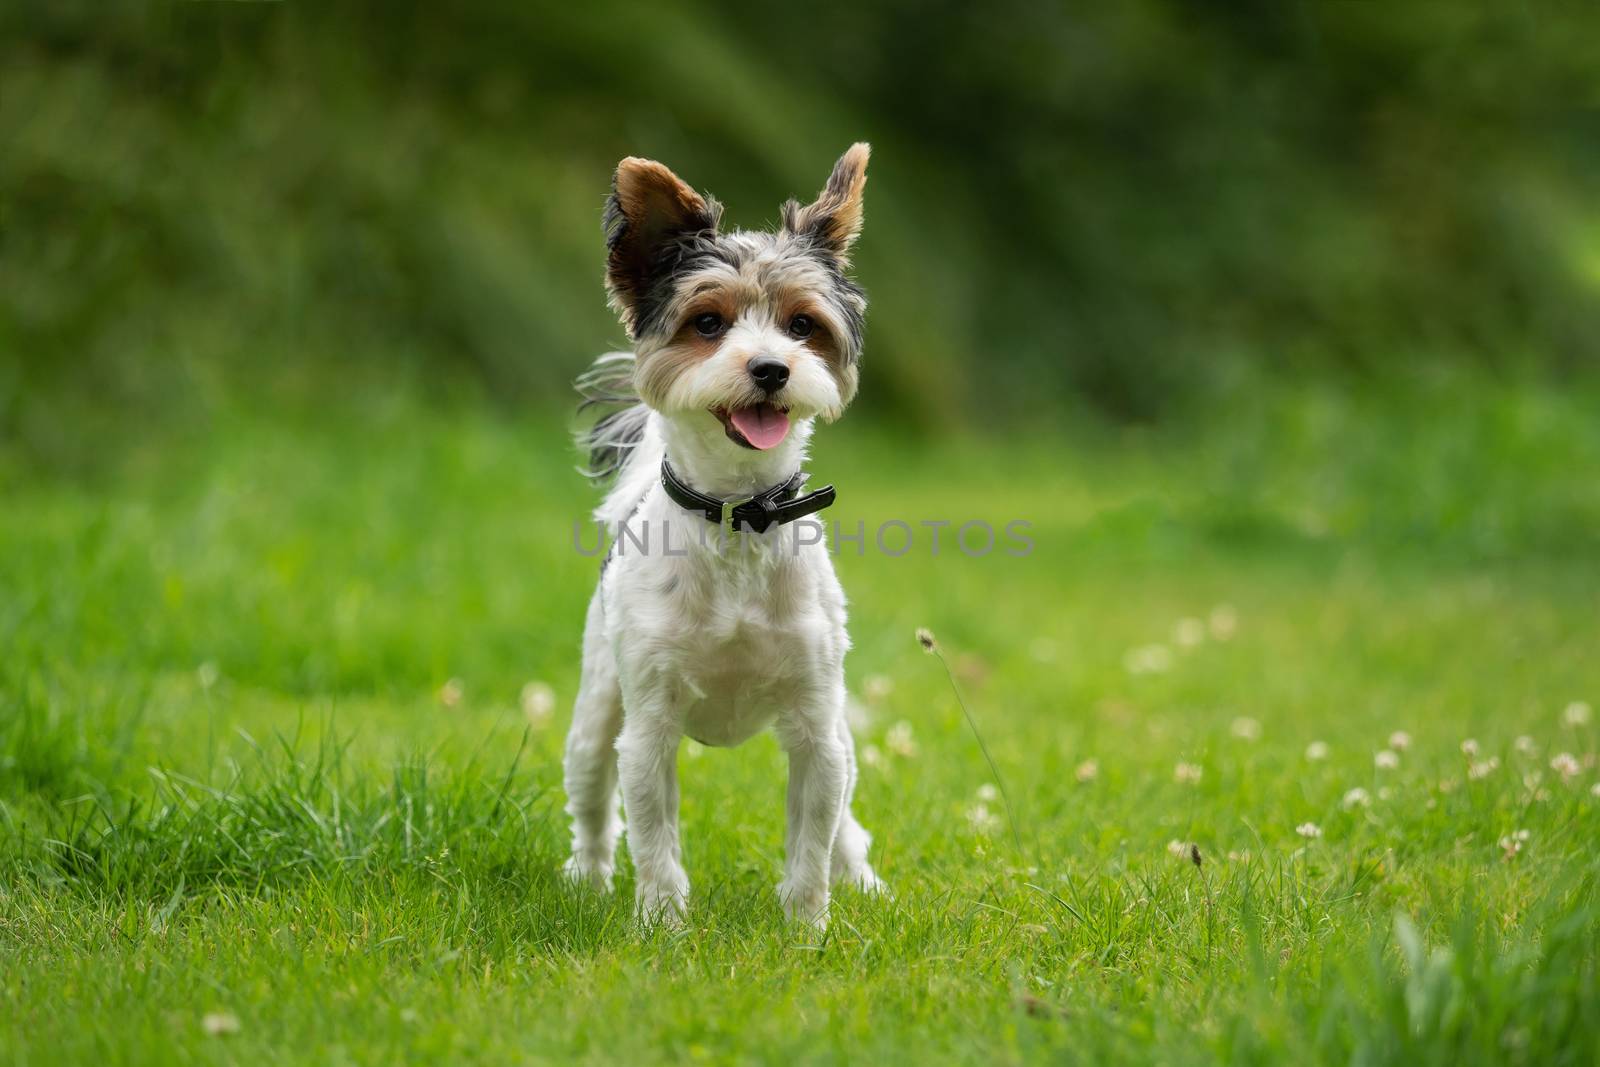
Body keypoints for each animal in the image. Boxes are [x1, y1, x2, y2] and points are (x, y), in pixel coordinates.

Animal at [563, 141, 889, 927]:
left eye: (803, 326)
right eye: (708, 323)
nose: (770, 368)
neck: (740, 514)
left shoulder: (817, 727)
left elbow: (812, 839)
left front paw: (808, 928)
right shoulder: (648, 727)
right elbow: (653, 838)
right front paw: (662, 924)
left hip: (840, 733)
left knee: (846, 822)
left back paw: (861, 877)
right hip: (595, 713)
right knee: (592, 804)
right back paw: (587, 877)